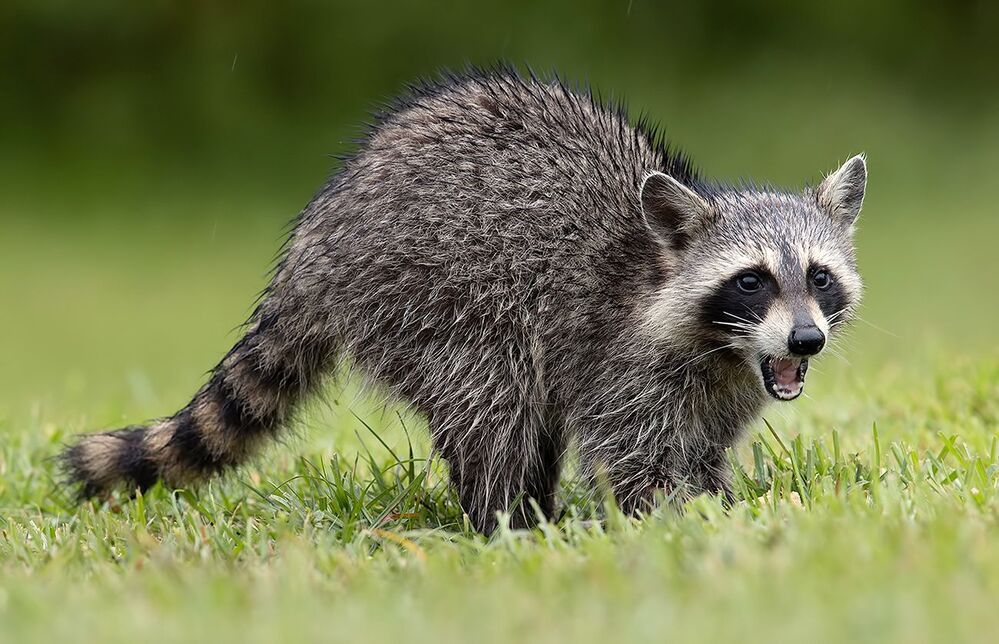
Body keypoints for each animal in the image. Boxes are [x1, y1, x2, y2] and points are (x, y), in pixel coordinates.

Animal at [61, 68, 867, 533]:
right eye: (752, 280)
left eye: (819, 277)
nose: (805, 341)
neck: (725, 349)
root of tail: (317, 239)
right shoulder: (619, 362)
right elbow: (632, 457)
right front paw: (677, 522)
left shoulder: (721, 388)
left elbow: (701, 453)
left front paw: (720, 506)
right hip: (433, 296)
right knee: (494, 405)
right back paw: (507, 521)